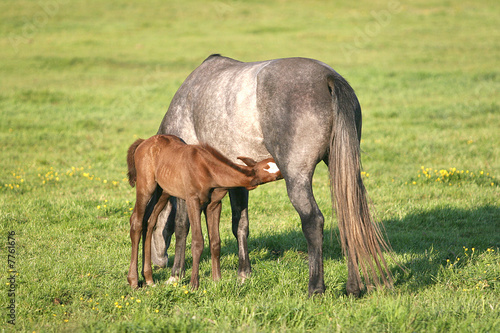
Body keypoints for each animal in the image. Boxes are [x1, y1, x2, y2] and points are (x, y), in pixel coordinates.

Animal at [126, 134, 282, 288]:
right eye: (274, 174)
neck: (209, 170)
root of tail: (143, 142)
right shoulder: (192, 201)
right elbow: (198, 241)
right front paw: (194, 284)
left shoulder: (214, 205)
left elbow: (215, 241)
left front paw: (217, 279)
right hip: (146, 186)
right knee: (136, 222)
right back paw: (133, 281)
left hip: (163, 191)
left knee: (149, 221)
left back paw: (149, 278)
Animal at [147, 54, 390, 296]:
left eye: (150, 226)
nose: (158, 263)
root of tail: (328, 78)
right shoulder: (237, 182)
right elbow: (240, 225)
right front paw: (243, 274)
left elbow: (181, 225)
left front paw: (176, 275)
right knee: (349, 218)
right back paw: (353, 288)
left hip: (297, 178)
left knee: (313, 221)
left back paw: (315, 288)